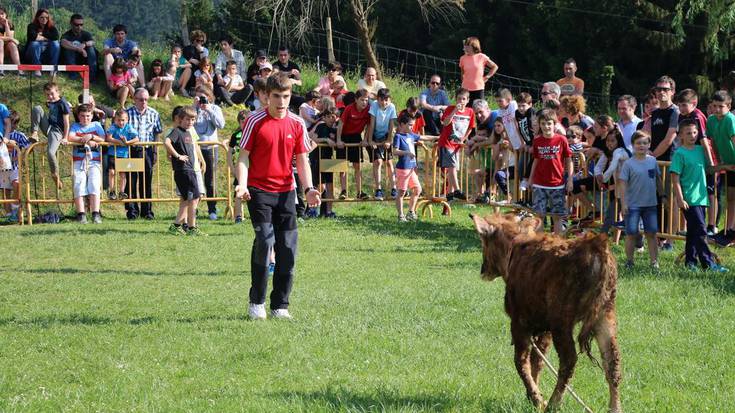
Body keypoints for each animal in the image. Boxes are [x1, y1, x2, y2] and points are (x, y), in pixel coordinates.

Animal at [474, 214, 624, 412]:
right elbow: (537, 360)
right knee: (612, 362)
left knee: (569, 360)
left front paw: (537, 398)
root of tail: (596, 247)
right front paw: (533, 396)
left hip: (562, 322)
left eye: (484, 242)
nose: (483, 270)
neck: (515, 247)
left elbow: (521, 361)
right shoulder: (544, 330)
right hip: (605, 317)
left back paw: (553, 403)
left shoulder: (519, 323)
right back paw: (615, 407)